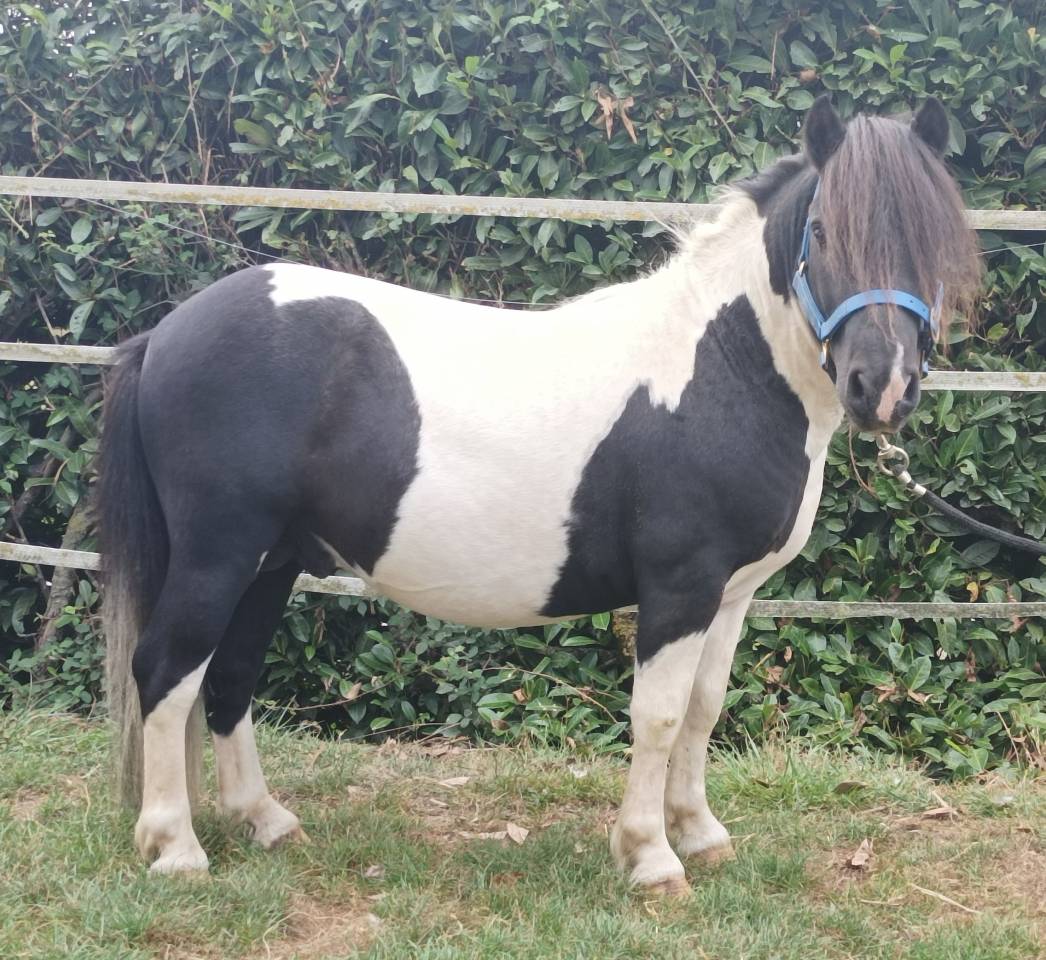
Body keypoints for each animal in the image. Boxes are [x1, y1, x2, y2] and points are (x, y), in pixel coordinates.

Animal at [96, 97, 981, 894]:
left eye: (934, 240)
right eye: (824, 231)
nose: (882, 387)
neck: (721, 369)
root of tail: (166, 333)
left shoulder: (730, 596)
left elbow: (702, 710)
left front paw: (700, 835)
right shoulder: (680, 587)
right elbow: (658, 716)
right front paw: (651, 859)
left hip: (272, 560)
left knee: (231, 674)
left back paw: (266, 820)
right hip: (219, 554)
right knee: (167, 669)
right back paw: (176, 848)